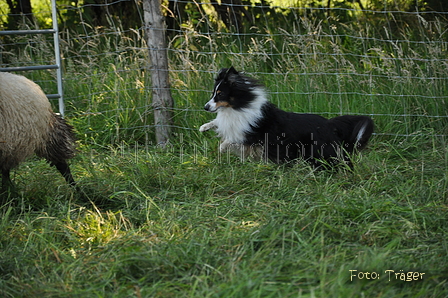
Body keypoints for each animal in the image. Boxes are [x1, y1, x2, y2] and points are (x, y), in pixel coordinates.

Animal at [200, 66, 374, 166]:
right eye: (213, 93)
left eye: (220, 94)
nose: (205, 107)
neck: (240, 105)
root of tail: (329, 123)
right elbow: (219, 124)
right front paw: (204, 127)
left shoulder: (250, 135)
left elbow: (229, 141)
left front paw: (223, 148)